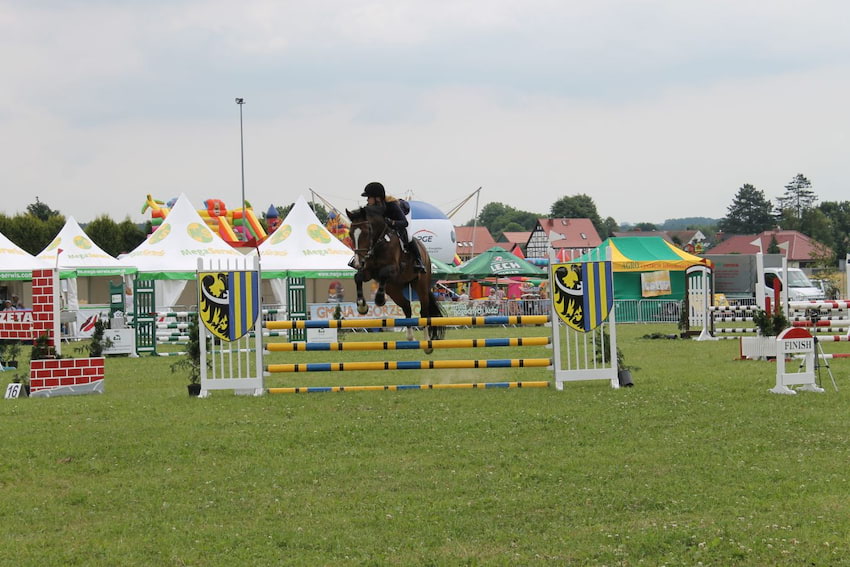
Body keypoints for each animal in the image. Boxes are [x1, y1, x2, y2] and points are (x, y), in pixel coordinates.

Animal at [346, 203, 448, 350]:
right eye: (350, 234)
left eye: (366, 232)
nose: (358, 262)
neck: (379, 242)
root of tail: (425, 252)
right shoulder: (368, 272)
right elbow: (358, 277)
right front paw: (362, 307)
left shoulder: (394, 269)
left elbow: (383, 273)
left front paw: (379, 299)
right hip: (393, 289)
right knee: (406, 306)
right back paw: (410, 337)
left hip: (420, 285)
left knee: (424, 311)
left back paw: (427, 343)